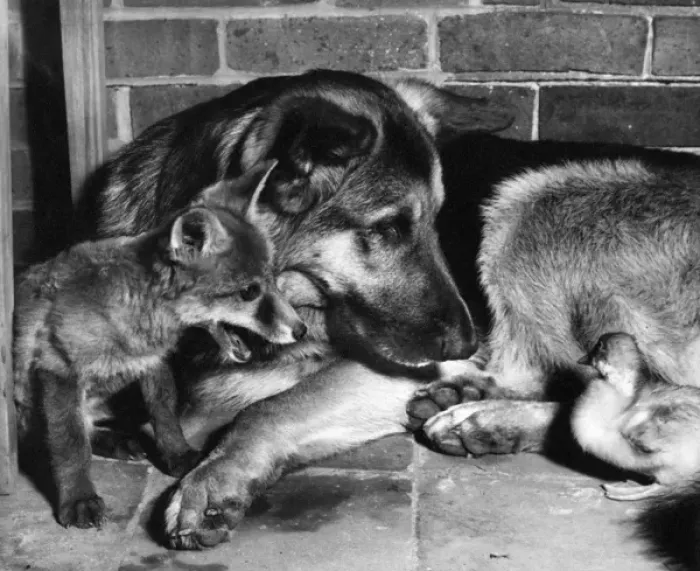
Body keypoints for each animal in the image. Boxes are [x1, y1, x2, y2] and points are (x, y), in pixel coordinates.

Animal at [13, 161, 307, 529]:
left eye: (273, 281)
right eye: (249, 292)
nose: (301, 329)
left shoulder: (153, 363)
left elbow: (166, 416)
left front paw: (179, 456)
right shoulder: (57, 367)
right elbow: (70, 445)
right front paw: (78, 498)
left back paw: (117, 440)